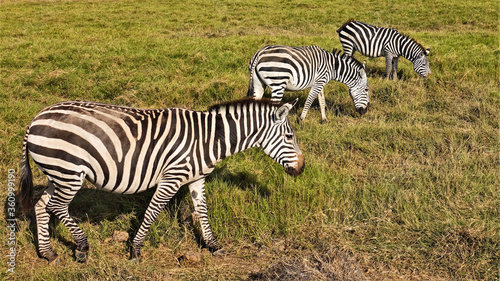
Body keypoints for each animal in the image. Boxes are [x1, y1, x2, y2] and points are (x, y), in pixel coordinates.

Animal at [18, 98, 304, 262]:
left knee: (42, 205)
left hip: (58, 174)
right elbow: (152, 212)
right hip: (69, 173)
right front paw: (135, 250)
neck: (209, 140)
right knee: (56, 206)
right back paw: (82, 247)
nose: (302, 169)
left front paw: (213, 246)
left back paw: (47, 253)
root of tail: (35, 119)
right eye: (290, 136)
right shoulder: (172, 177)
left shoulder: (196, 178)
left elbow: (202, 211)